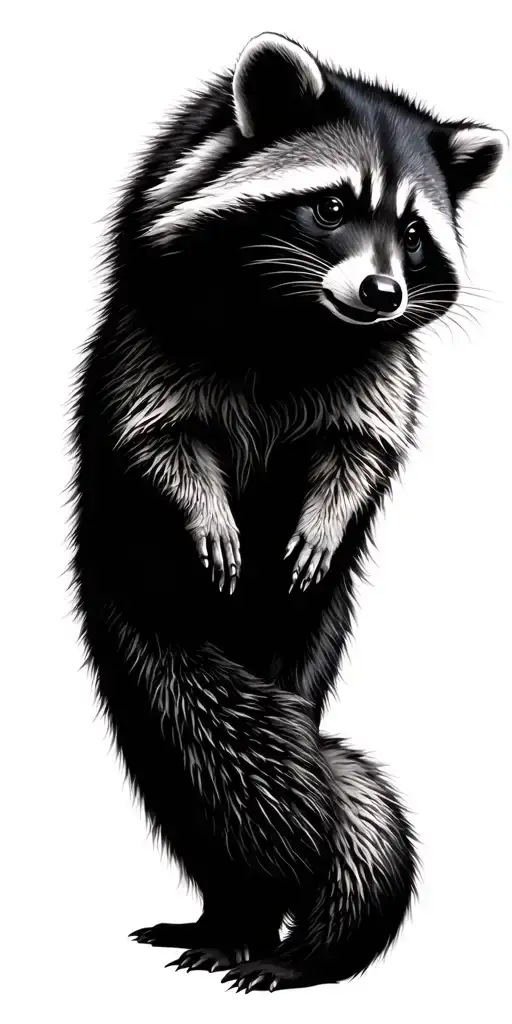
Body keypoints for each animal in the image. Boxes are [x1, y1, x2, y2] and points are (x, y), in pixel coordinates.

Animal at [70, 31, 504, 991]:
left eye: (413, 234)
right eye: (332, 206)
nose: (382, 292)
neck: (296, 319)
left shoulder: (377, 373)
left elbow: (361, 449)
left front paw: (327, 514)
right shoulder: (152, 336)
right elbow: (162, 436)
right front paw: (205, 507)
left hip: (313, 636)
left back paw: (254, 927)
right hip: (135, 616)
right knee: (186, 750)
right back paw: (230, 916)